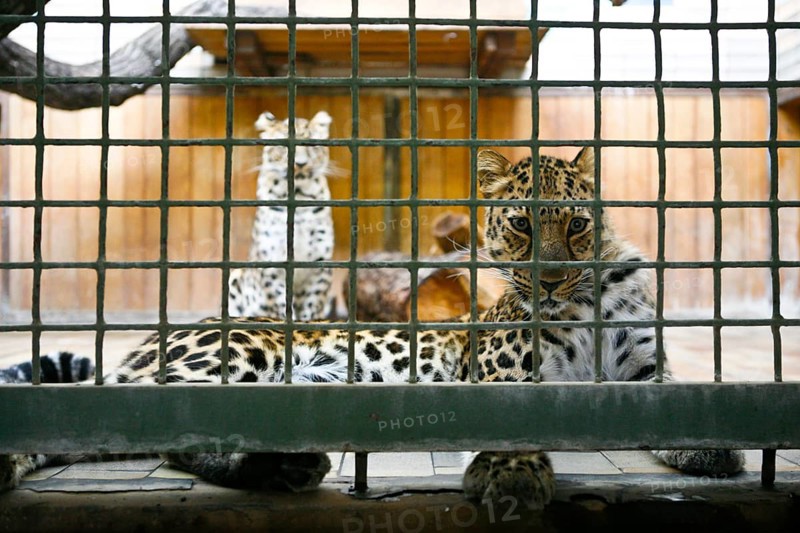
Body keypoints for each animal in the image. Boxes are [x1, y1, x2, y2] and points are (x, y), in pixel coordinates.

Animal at [0, 148, 743, 507]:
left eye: (578, 224)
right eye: (523, 225)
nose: (554, 279)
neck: (588, 298)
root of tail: (144, 344)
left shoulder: (644, 373)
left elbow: (682, 404)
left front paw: (713, 448)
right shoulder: (504, 371)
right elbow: (514, 423)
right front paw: (511, 475)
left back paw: (285, 467)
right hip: (237, 356)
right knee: (165, 430)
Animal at [228, 110, 335, 321]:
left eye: (312, 145)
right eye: (284, 145)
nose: (300, 164)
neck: (299, 196)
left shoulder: (320, 265)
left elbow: (312, 306)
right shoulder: (272, 265)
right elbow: (281, 303)